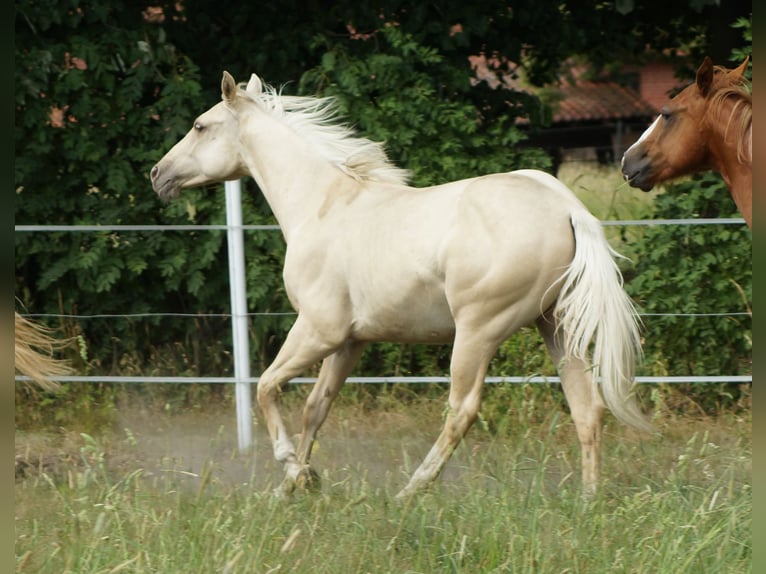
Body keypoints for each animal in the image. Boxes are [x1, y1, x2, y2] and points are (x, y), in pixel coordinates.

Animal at [151, 71, 650, 499]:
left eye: (199, 125)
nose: (158, 174)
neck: (322, 206)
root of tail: (566, 206)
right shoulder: (351, 341)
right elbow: (316, 407)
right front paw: (296, 486)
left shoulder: (318, 330)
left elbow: (265, 387)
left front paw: (291, 467)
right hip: (556, 326)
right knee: (587, 409)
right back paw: (588, 501)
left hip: (479, 331)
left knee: (462, 410)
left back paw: (411, 491)